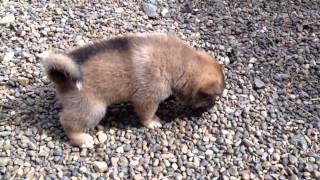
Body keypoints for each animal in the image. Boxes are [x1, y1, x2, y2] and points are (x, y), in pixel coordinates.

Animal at [41, 32, 225, 148]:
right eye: (211, 97)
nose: (212, 107)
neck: (179, 64)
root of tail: (62, 79)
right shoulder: (147, 99)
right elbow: (146, 114)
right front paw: (152, 122)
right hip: (92, 109)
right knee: (67, 122)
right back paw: (82, 139)